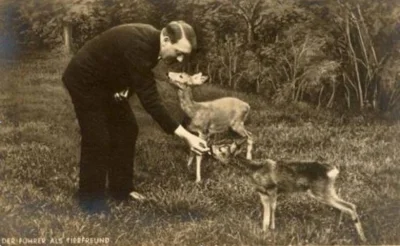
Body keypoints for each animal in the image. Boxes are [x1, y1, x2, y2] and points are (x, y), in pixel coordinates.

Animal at [209, 139, 368, 243]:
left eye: (222, 148)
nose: (210, 146)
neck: (253, 170)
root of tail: (333, 171)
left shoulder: (272, 188)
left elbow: (273, 209)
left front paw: (272, 229)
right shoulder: (262, 193)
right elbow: (265, 215)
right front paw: (264, 232)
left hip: (321, 191)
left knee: (350, 206)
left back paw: (362, 238)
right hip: (326, 190)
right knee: (341, 207)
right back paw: (335, 231)